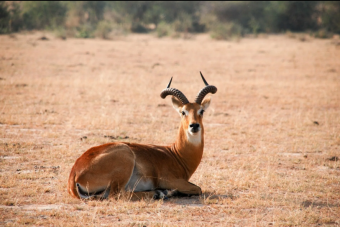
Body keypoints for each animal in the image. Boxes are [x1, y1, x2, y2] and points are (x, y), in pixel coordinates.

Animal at [68, 72, 218, 200]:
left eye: (201, 111)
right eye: (183, 112)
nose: (194, 126)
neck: (176, 154)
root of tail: (74, 174)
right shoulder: (170, 180)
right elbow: (198, 188)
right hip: (124, 160)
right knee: (117, 195)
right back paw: (159, 193)